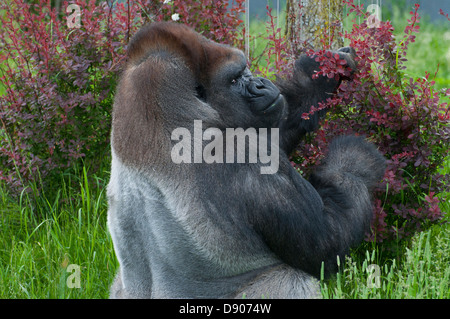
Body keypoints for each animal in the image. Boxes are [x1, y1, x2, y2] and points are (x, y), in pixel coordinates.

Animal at [107, 21, 384, 300]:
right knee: (292, 279)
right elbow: (327, 246)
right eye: (234, 79)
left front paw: (320, 73)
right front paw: (355, 161)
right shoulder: (245, 153)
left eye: (244, 72)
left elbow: (276, 126)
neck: (165, 118)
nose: (260, 84)